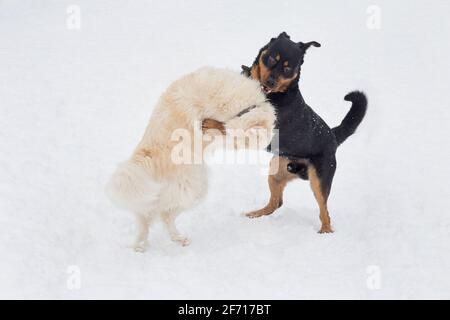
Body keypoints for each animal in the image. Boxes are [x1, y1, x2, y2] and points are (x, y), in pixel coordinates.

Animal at [106, 67, 274, 251]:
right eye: (238, 143)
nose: (234, 147)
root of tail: (146, 159)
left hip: (164, 194)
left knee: (152, 216)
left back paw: (149, 244)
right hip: (194, 187)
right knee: (161, 215)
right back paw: (160, 242)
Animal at [239, 31, 366, 232]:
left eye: (288, 68)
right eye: (271, 59)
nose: (271, 81)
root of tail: (332, 136)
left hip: (320, 180)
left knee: (325, 212)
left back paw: (325, 232)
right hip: (277, 170)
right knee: (276, 203)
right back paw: (255, 214)